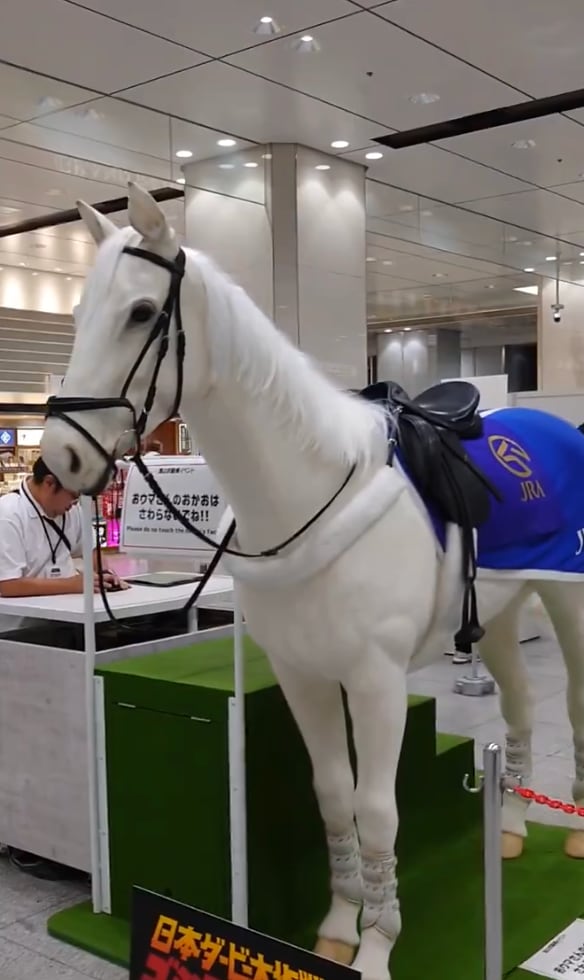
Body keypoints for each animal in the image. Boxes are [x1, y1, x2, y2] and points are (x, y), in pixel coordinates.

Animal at [41, 182, 584, 980]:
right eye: (78, 315)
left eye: (141, 313)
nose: (60, 459)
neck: (311, 487)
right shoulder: (304, 676)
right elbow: (333, 796)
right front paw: (337, 927)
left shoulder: (377, 682)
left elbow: (378, 809)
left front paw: (379, 946)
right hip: (503, 612)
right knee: (517, 703)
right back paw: (511, 826)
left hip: (569, 601)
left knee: (572, 704)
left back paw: (571, 827)